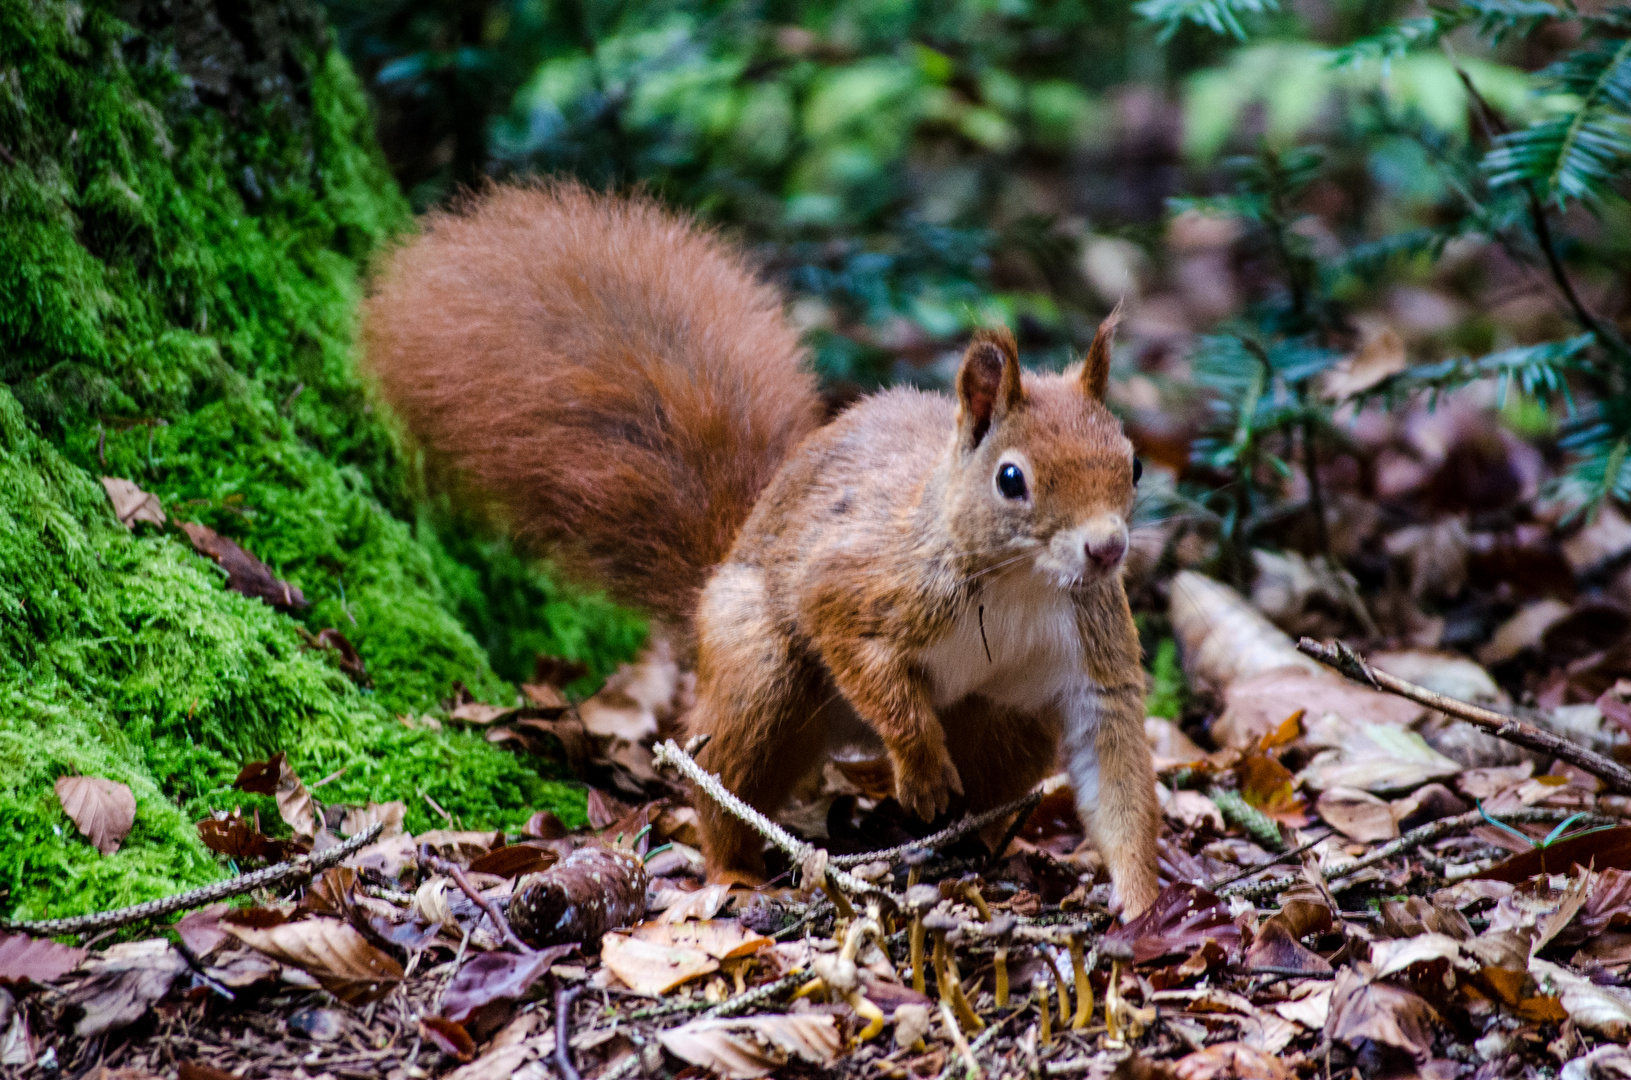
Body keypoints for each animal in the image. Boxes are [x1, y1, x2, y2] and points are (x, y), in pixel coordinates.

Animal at [365, 181, 1167, 920]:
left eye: (1132, 464)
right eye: (1011, 479)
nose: (1107, 549)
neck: (1019, 584)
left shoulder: (1093, 650)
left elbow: (1117, 764)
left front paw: (1139, 901)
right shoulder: (865, 583)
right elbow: (856, 647)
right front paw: (919, 767)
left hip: (1005, 719)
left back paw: (972, 847)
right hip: (760, 668)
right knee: (724, 775)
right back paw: (737, 867)